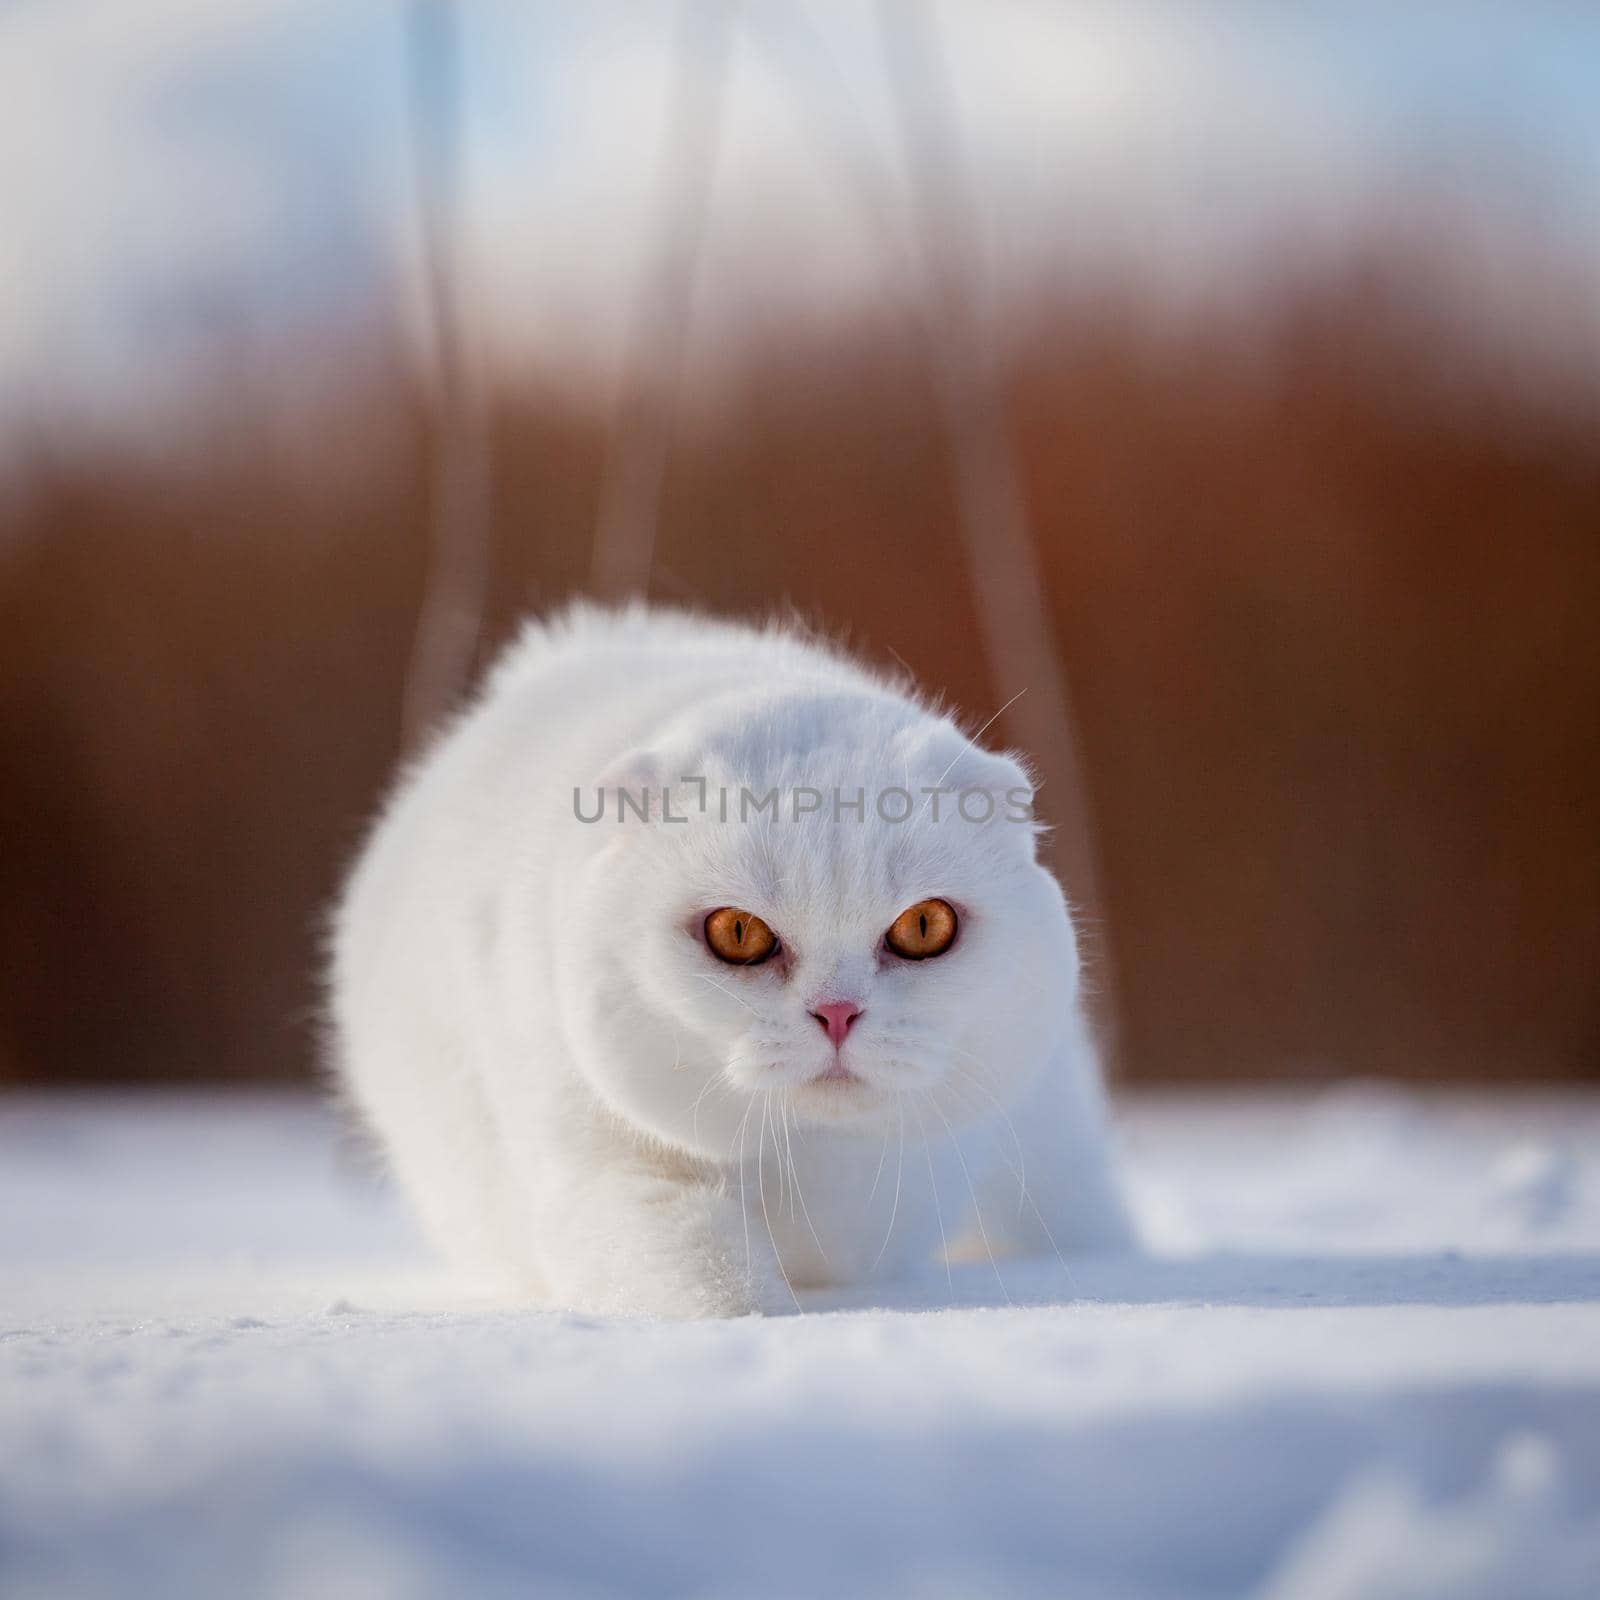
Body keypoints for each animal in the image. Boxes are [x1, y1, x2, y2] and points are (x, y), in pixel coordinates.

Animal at [328, 604, 1139, 1318]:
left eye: (923, 925)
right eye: (739, 933)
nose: (837, 1013)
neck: (806, 1164)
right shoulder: (595, 1171)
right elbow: (704, 1277)